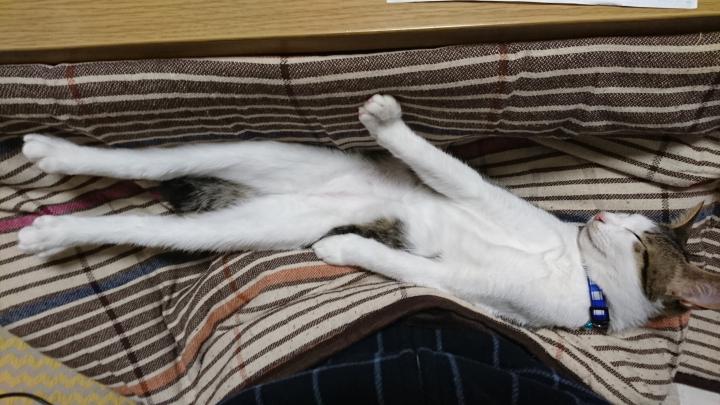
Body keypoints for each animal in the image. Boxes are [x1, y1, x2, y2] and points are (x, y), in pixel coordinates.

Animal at [17, 95, 720, 332]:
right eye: (630, 221)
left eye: (639, 247)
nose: (597, 217)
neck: (576, 271)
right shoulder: (483, 196)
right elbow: (446, 166)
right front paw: (388, 123)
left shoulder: (477, 287)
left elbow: (404, 265)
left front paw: (342, 250)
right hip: (258, 151)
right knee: (152, 162)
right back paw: (54, 151)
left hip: (252, 225)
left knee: (140, 220)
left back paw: (52, 230)